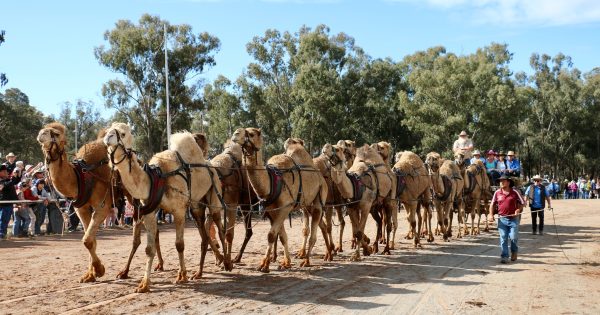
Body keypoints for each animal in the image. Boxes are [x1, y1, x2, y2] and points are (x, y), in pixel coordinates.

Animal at [37, 123, 119, 284]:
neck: (81, 177)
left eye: (56, 133)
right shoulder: (82, 208)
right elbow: (91, 240)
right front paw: (90, 275)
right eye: (43, 129)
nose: (41, 134)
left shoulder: (103, 206)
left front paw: (99, 270)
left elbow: (87, 240)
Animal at [103, 124, 230, 294]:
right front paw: (144, 284)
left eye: (122, 133)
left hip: (214, 194)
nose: (107, 137)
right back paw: (199, 272)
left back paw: (227, 263)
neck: (155, 179)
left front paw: (181, 276)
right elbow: (148, 248)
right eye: (109, 129)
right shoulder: (149, 213)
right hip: (196, 206)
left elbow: (179, 244)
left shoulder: (179, 210)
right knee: (204, 235)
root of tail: (210, 165)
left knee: (220, 227)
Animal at [231, 127, 326, 272]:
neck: (271, 182)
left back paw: (307, 260)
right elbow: (281, 236)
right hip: (305, 205)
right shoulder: (272, 211)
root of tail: (321, 177)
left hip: (319, 200)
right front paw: (286, 262)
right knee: (308, 227)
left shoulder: (285, 208)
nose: (235, 134)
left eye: (251, 134)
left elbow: (271, 235)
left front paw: (264, 264)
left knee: (314, 232)